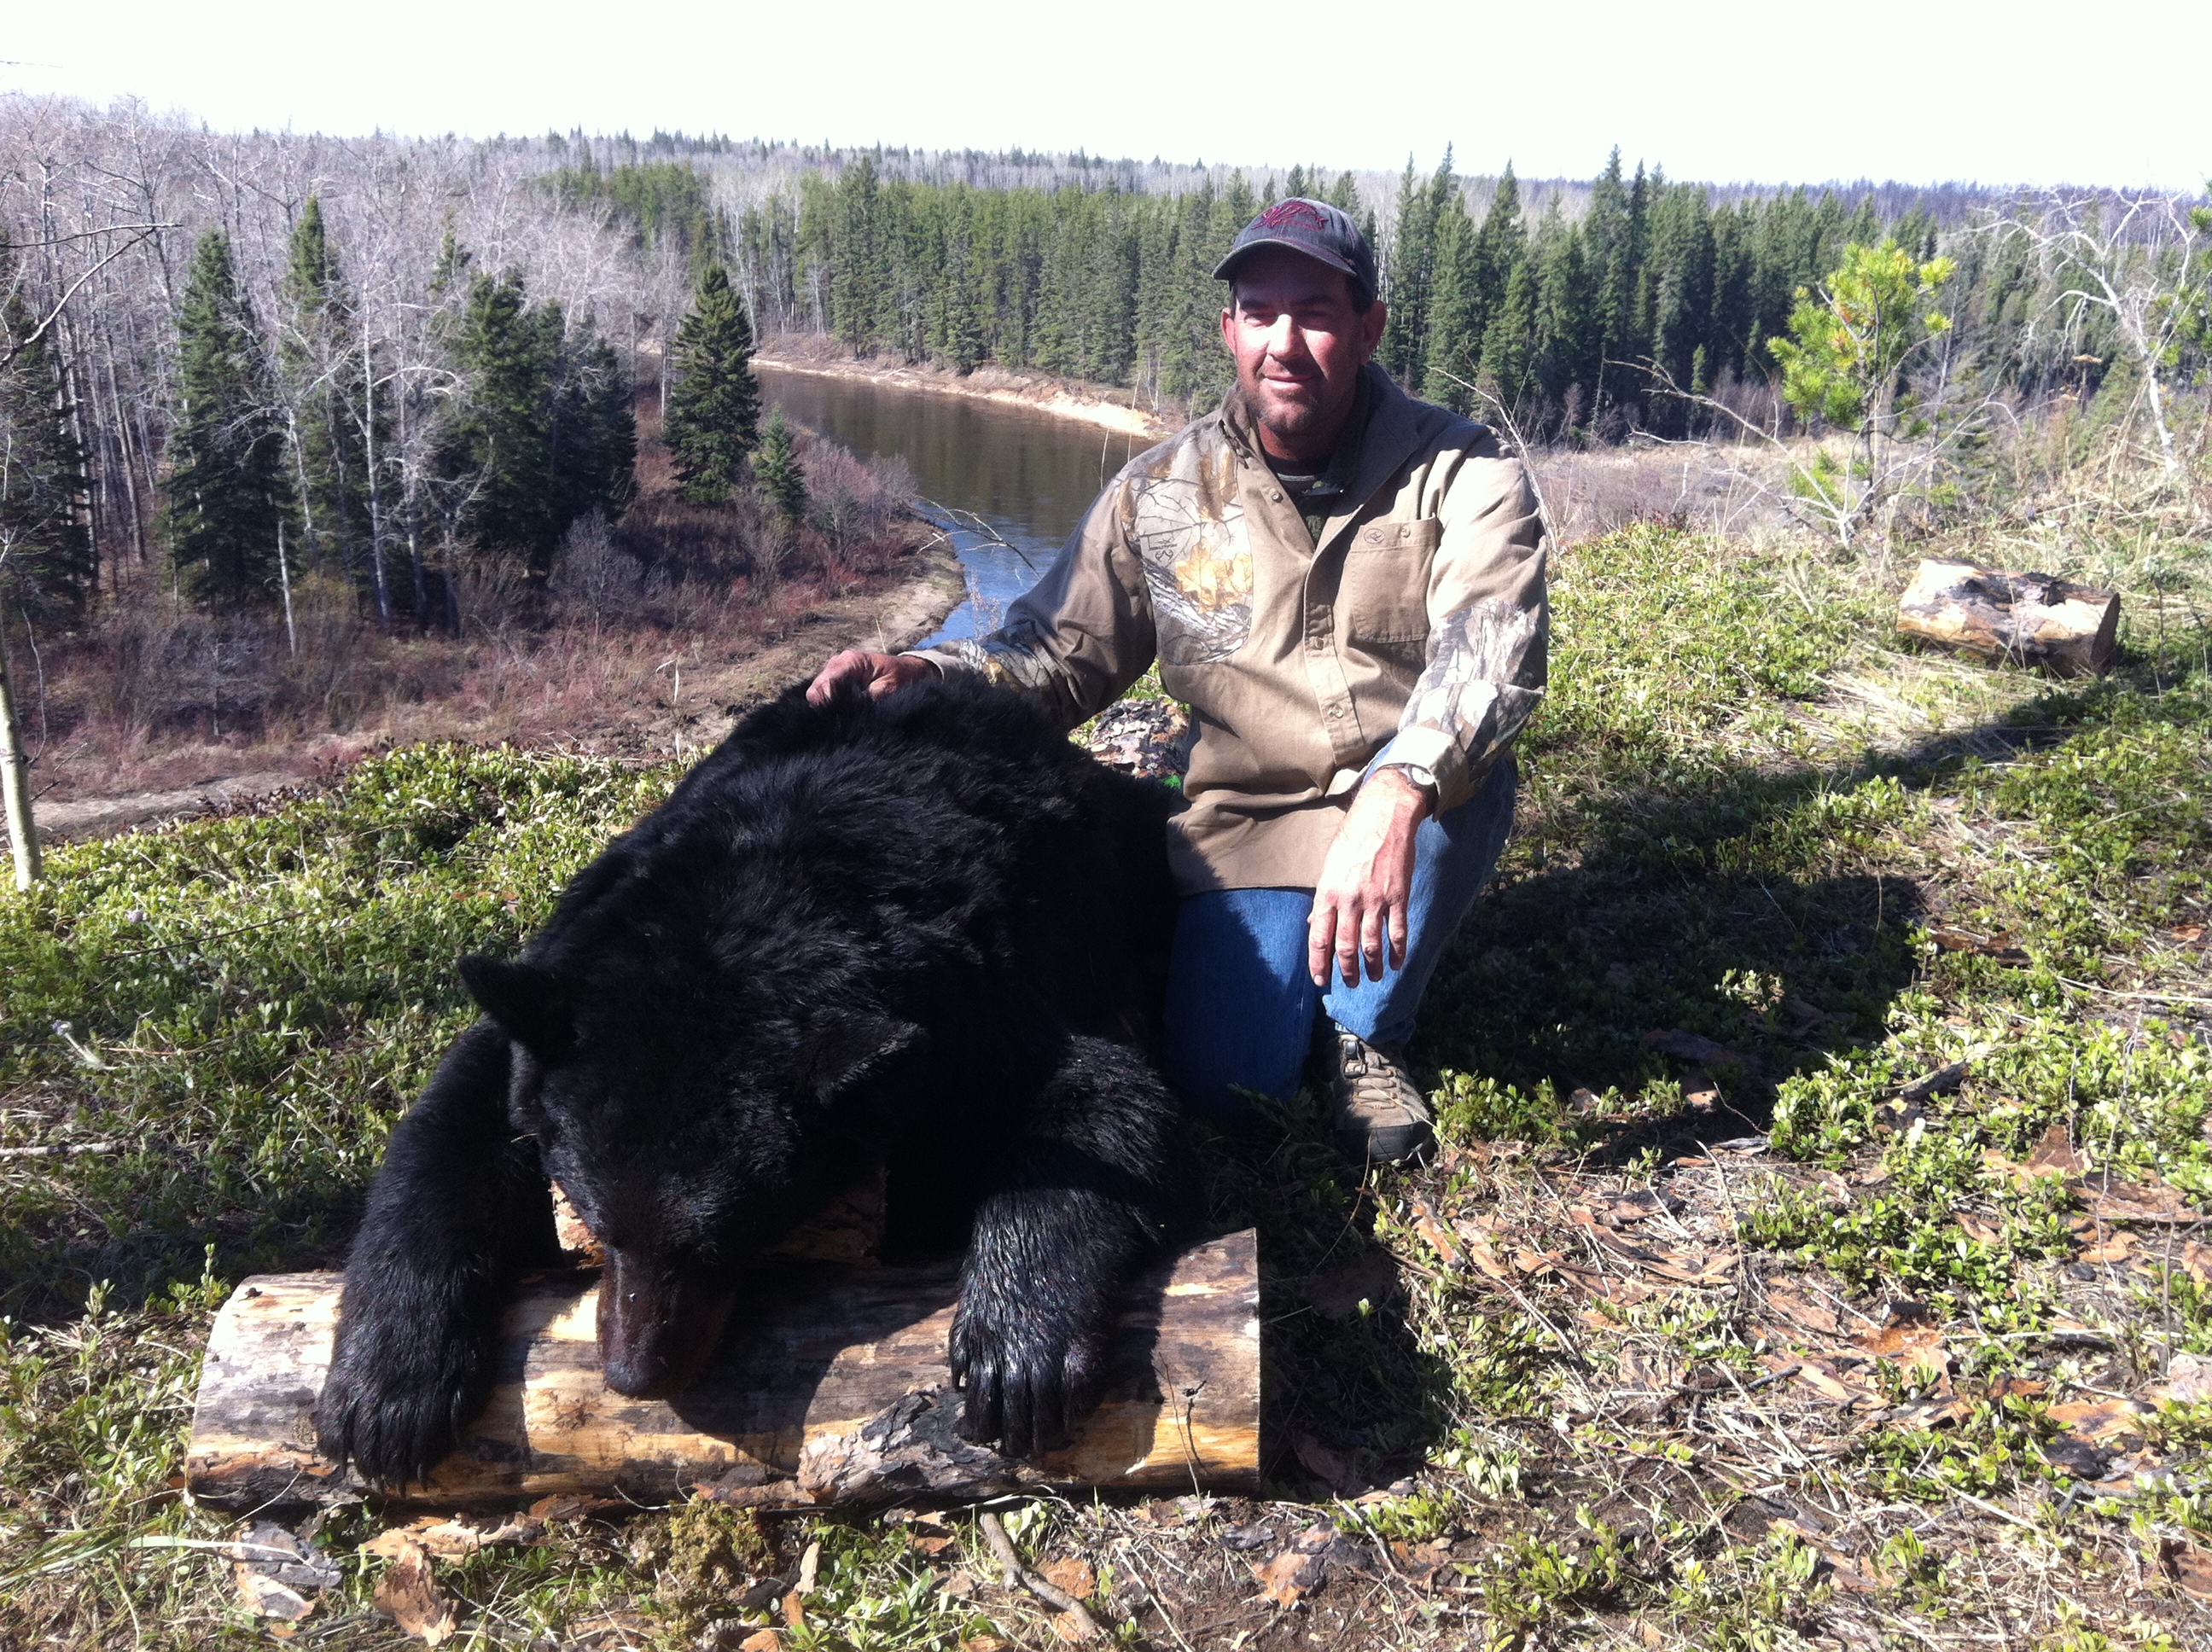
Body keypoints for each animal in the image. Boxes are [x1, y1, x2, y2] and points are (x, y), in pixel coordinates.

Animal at [313, 674, 1185, 1485]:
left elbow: (1100, 1094)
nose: (634, 1375)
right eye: (598, 1222)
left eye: (724, 1237)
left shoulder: (973, 1003)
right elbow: (451, 1122)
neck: (757, 902)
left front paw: (1019, 1351)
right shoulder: (566, 993)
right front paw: (386, 1392)